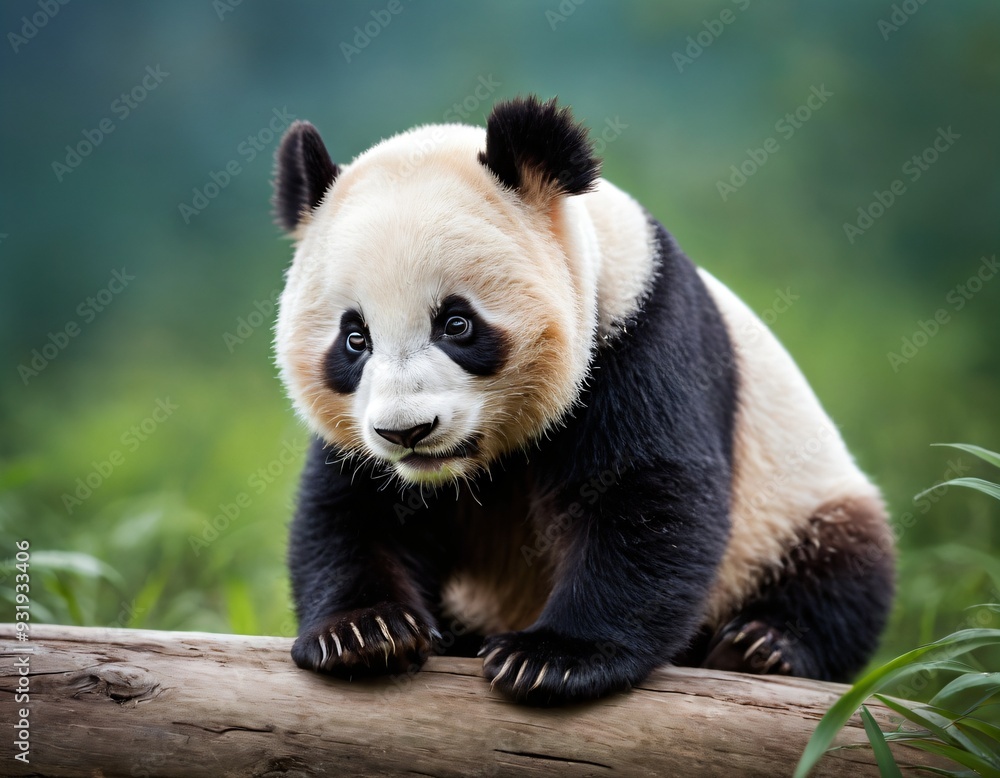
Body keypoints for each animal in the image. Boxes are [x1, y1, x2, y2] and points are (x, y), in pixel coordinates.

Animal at [271, 95, 894, 705]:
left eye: (457, 323)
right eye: (355, 339)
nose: (407, 431)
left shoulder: (640, 332)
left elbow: (645, 497)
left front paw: (552, 659)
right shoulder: (363, 435)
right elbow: (354, 510)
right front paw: (363, 633)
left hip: (800, 502)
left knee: (844, 575)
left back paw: (760, 647)